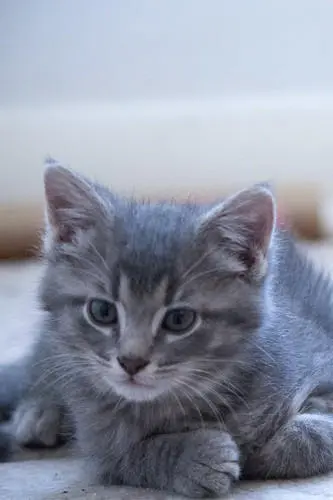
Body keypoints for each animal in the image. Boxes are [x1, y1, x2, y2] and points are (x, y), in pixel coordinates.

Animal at [1, 164, 332, 496]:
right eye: (102, 312)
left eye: (179, 319)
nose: (131, 361)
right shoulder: (101, 444)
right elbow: (136, 455)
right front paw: (196, 457)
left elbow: (309, 433)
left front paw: (264, 452)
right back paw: (39, 410)